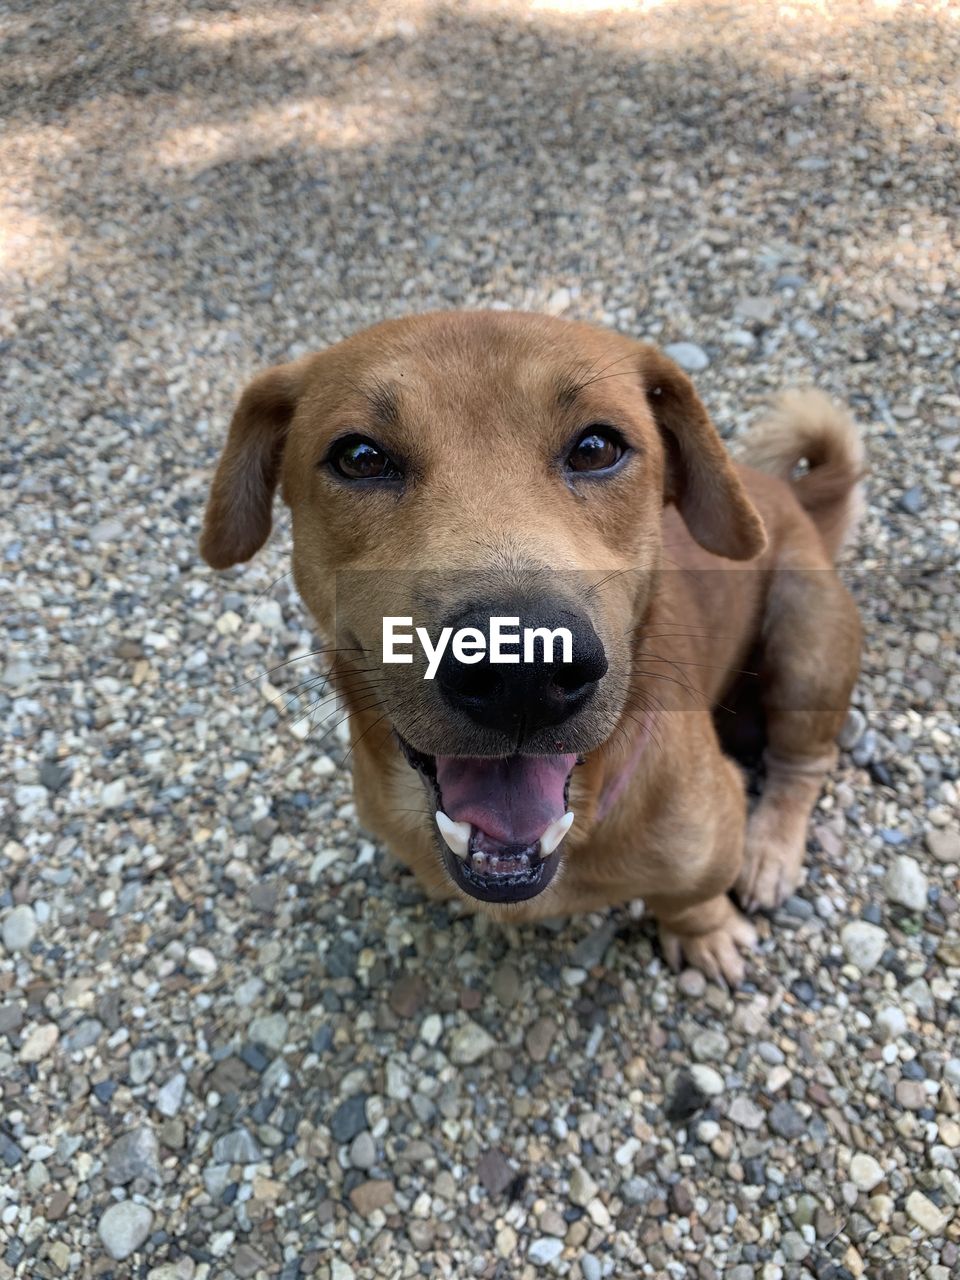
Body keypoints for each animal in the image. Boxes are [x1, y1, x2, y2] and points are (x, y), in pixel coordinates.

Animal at [203, 312, 865, 988]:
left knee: (803, 763)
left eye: (597, 448)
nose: (522, 670)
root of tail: (795, 500)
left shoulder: (708, 834)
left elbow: (690, 896)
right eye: (359, 458)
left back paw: (770, 851)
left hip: (809, 644)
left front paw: (704, 930)